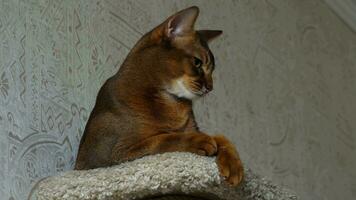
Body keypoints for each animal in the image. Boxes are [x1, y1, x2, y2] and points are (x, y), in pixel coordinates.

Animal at [73, 5, 243, 185]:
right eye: (197, 63)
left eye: (212, 71)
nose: (210, 87)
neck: (171, 101)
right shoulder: (108, 155)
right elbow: (162, 138)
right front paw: (200, 140)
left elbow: (222, 137)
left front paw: (234, 165)